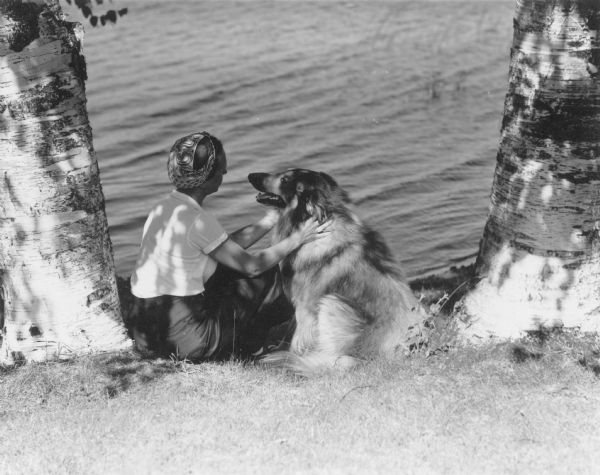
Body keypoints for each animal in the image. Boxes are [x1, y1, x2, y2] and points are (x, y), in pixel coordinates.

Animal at [248, 169, 426, 374]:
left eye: (285, 180)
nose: (251, 176)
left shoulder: (305, 307)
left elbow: (299, 337)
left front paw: (294, 353)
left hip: (332, 303)